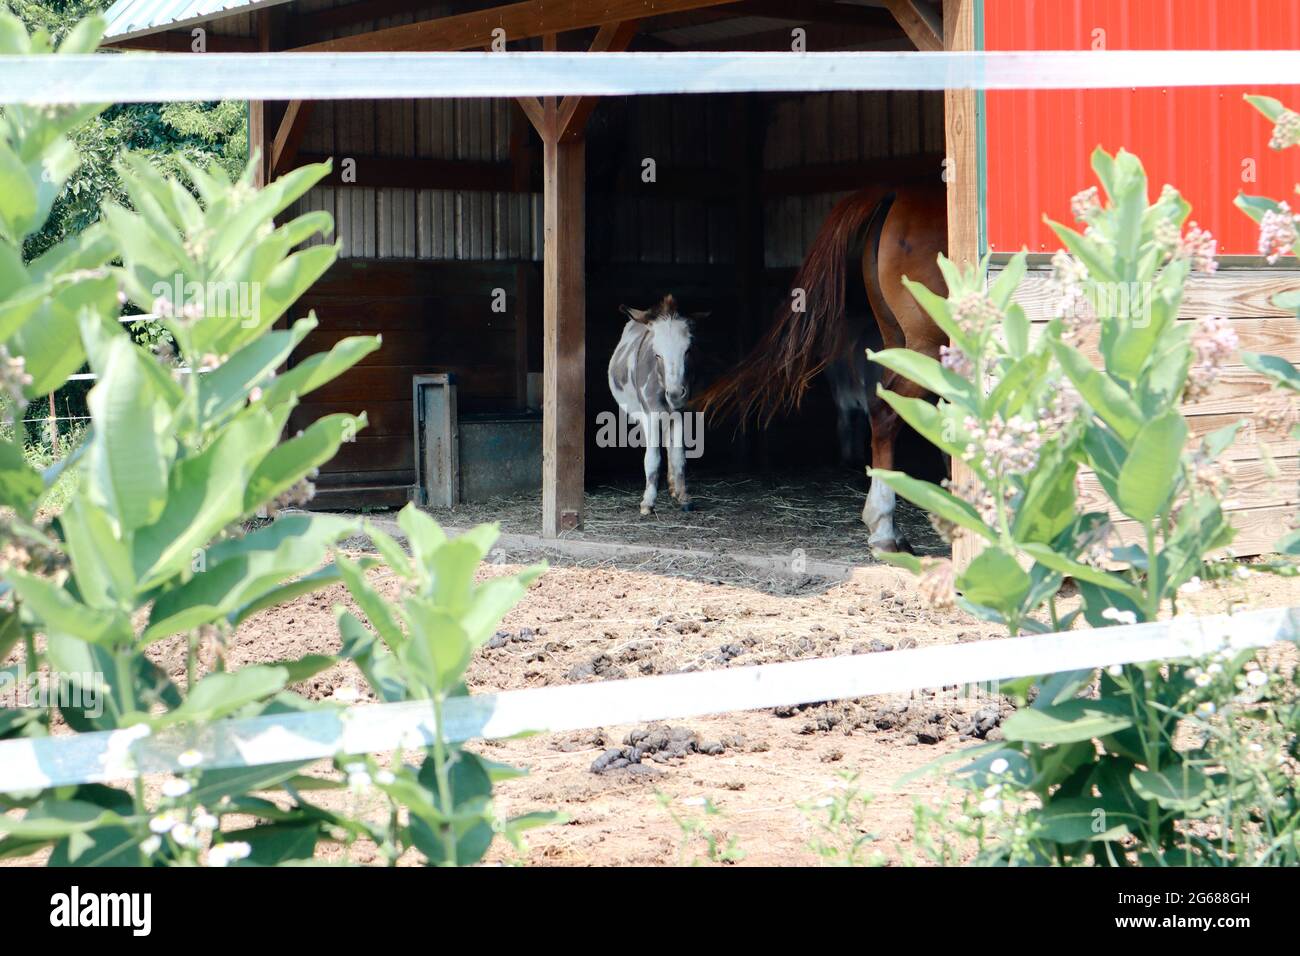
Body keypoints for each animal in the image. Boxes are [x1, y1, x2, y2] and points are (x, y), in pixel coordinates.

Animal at [607, 295, 706, 516]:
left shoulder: (681, 413)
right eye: (657, 354)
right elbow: (652, 459)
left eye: (688, 350)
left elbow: (679, 456)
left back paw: (673, 488)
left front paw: (684, 497)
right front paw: (648, 503)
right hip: (641, 414)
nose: (676, 394)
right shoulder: (650, 415)